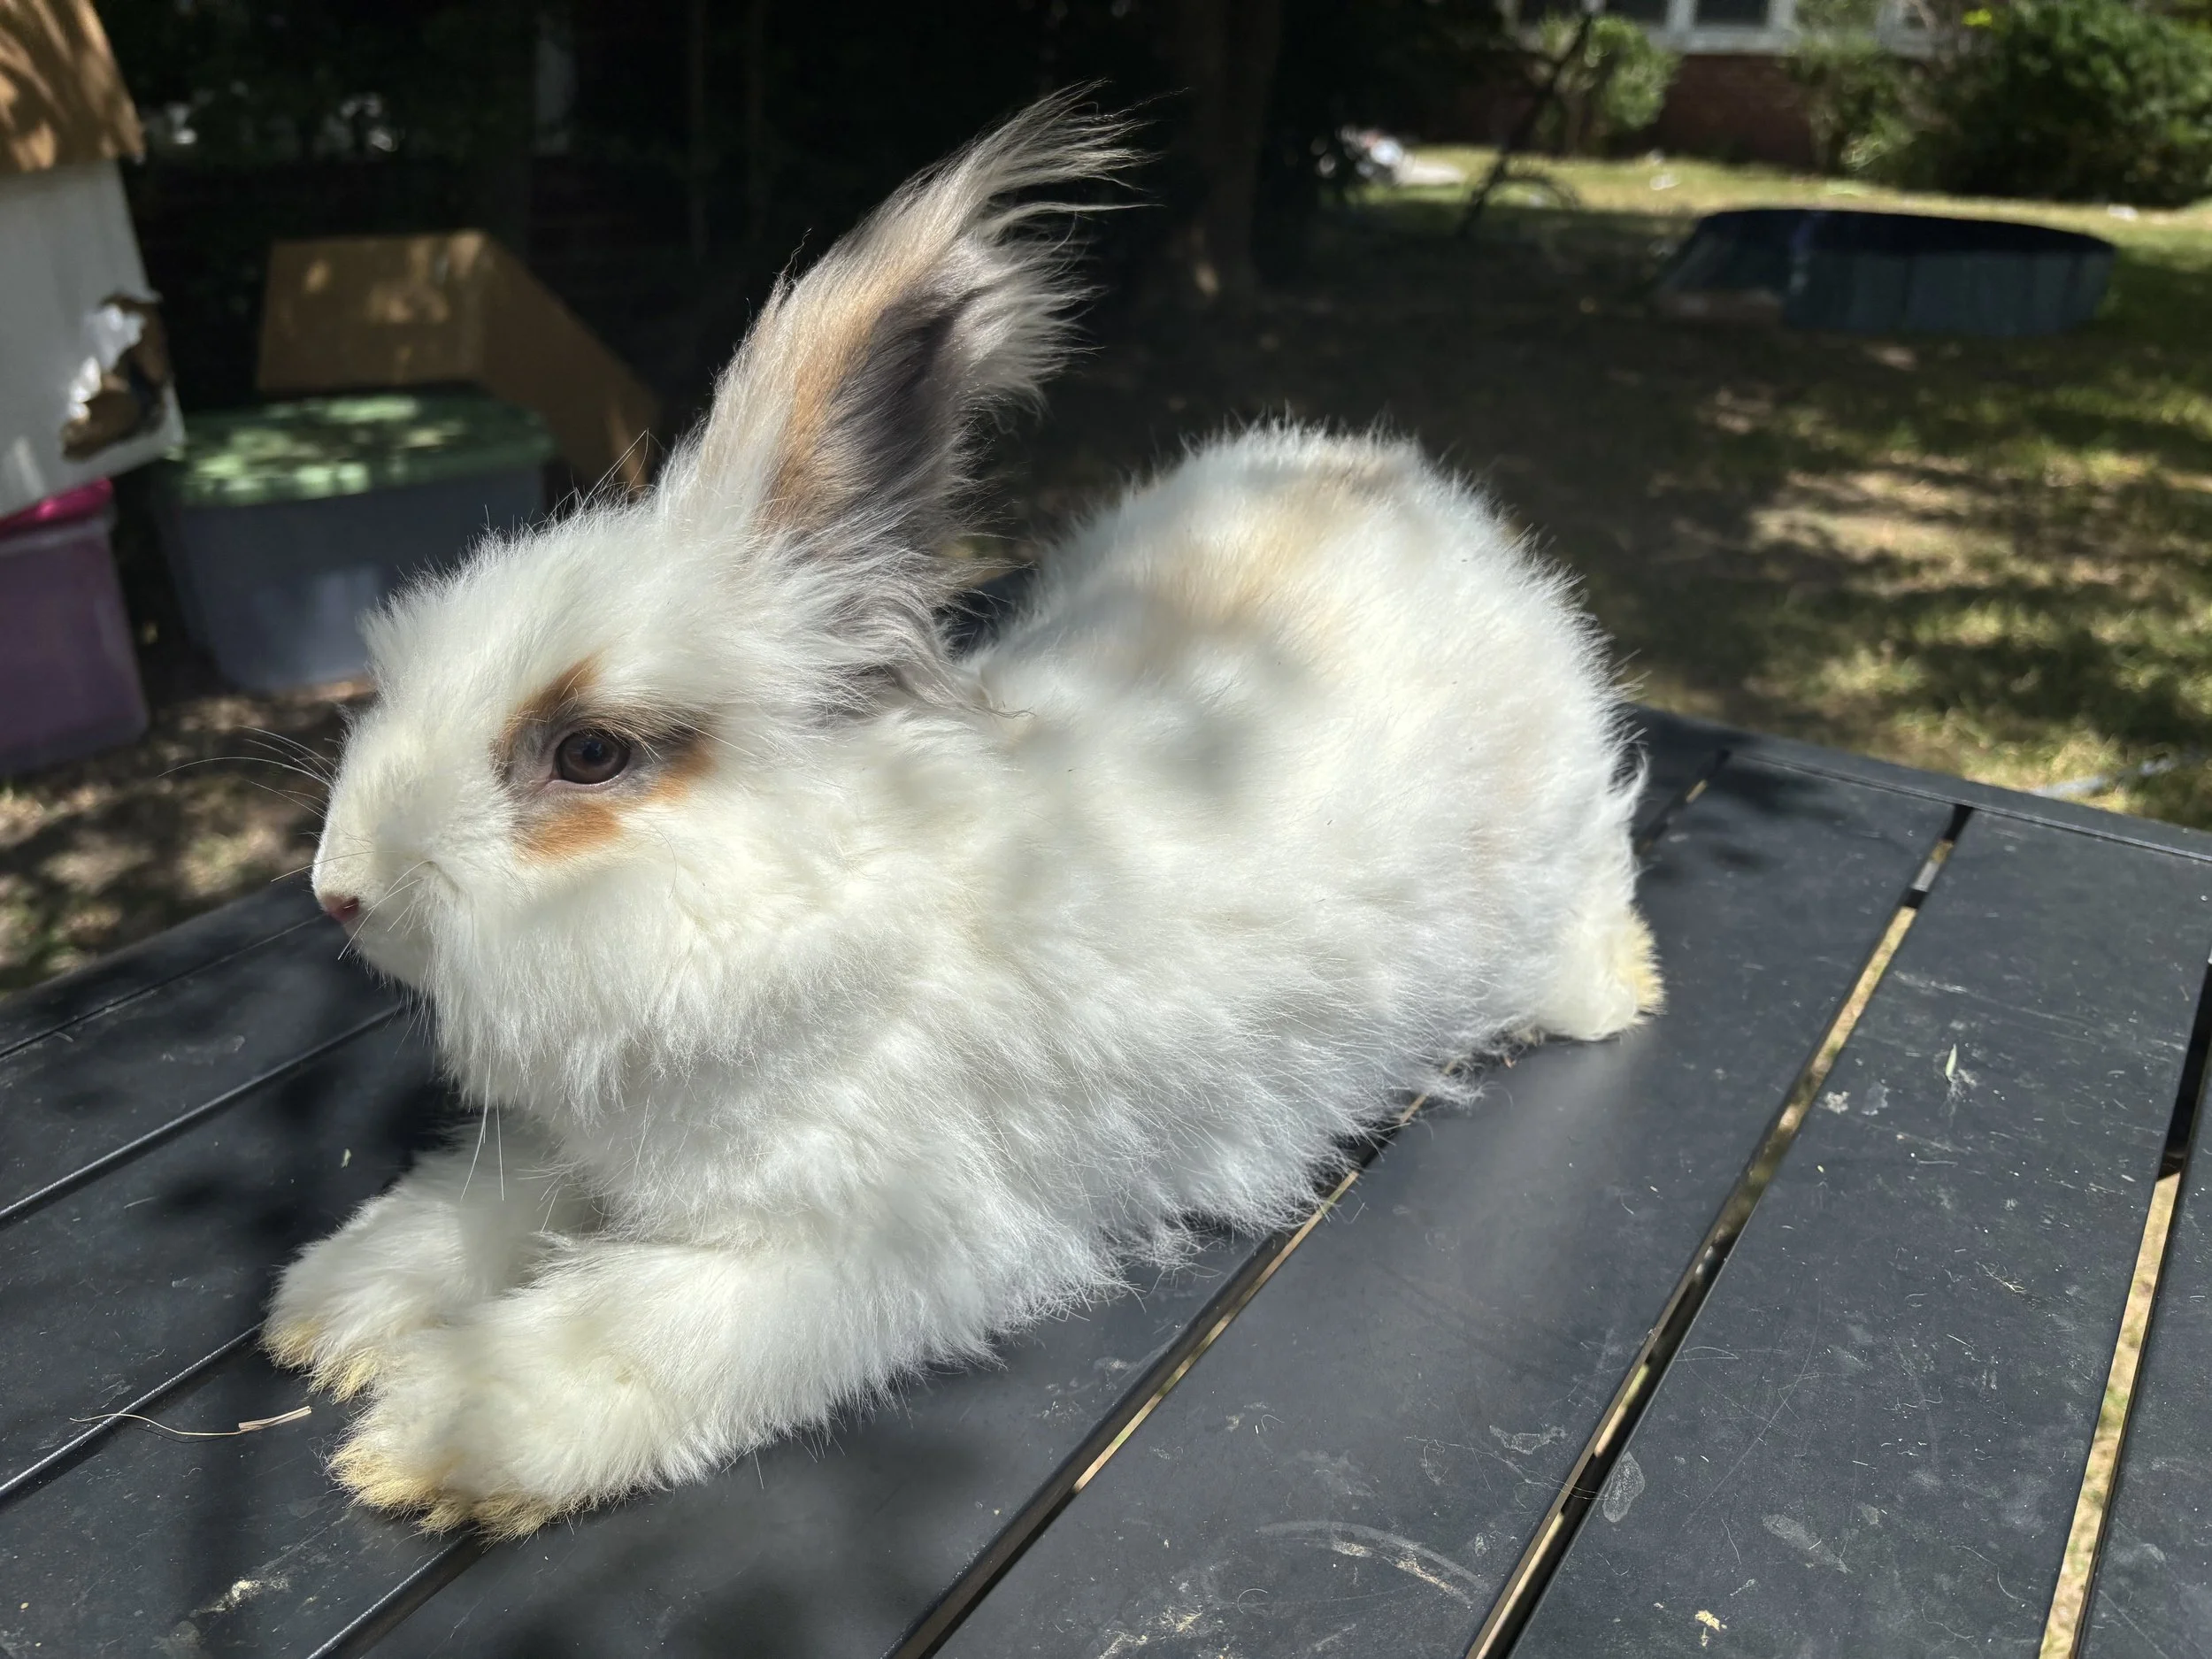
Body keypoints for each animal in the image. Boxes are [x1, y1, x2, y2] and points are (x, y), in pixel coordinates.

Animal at [266, 94, 1661, 1537]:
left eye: (589, 751)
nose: (339, 889)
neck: (823, 910)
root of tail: (1439, 505)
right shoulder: (593, 1149)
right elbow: (495, 1202)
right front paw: (334, 1303)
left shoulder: (861, 1248)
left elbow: (626, 1333)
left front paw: (429, 1435)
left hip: (1557, 888)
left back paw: (1622, 983)